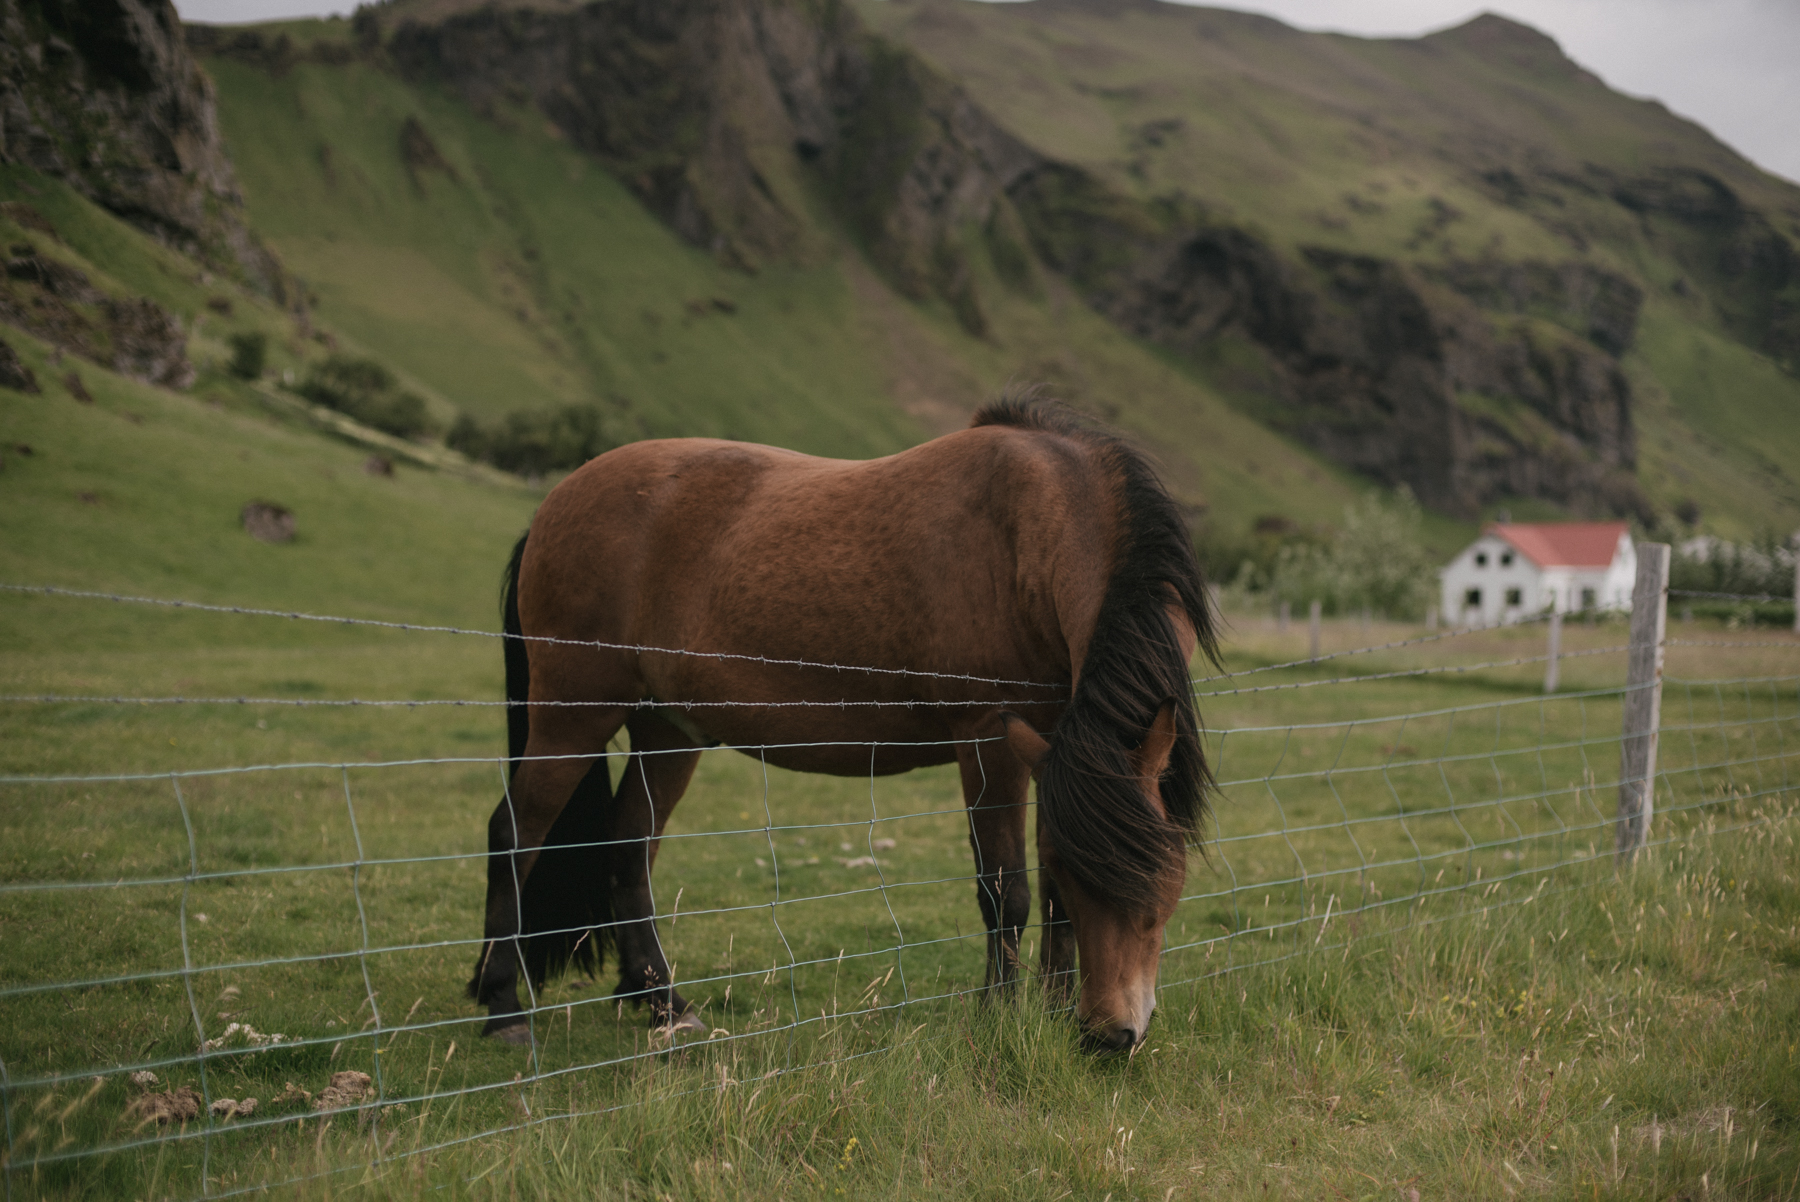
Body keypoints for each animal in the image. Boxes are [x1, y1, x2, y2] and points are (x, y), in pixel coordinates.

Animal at [471, 399, 1216, 1043]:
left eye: (1164, 877)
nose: (1110, 1035)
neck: (1028, 533)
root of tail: (553, 506)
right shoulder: (989, 740)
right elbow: (1006, 890)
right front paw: (1000, 1015)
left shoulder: (1054, 748)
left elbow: (1050, 895)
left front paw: (1053, 1011)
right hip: (573, 718)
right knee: (515, 834)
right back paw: (503, 1005)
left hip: (669, 731)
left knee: (629, 848)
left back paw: (663, 1005)